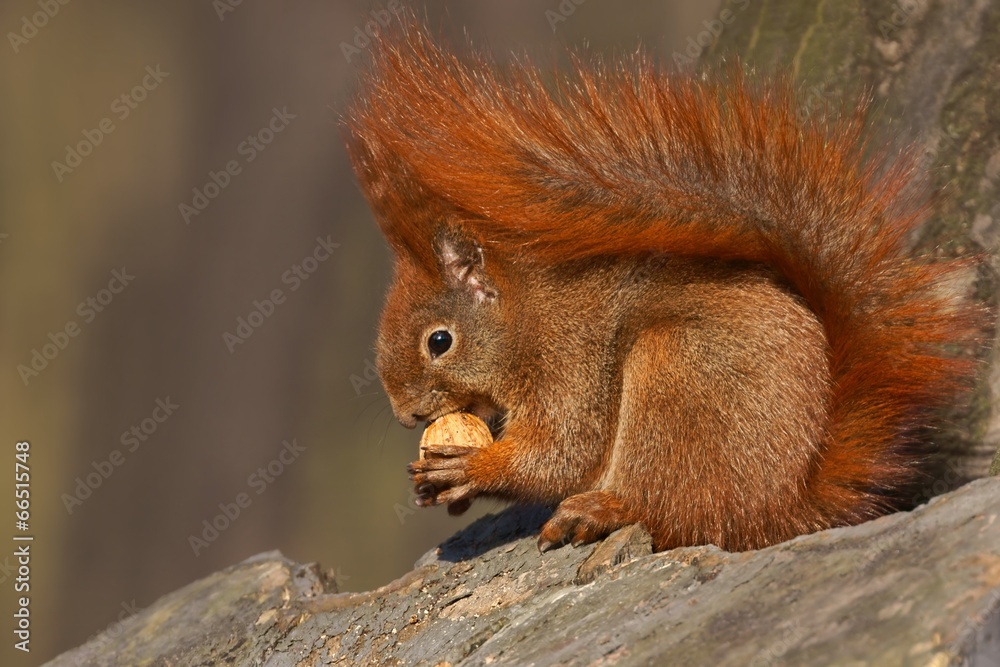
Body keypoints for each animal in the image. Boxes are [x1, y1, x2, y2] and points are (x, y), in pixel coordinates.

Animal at [346, 18, 986, 552]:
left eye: (440, 341)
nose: (406, 416)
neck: (526, 314)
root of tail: (787, 507)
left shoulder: (568, 365)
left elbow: (560, 454)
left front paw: (468, 469)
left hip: (675, 372)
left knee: (673, 510)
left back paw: (601, 511)